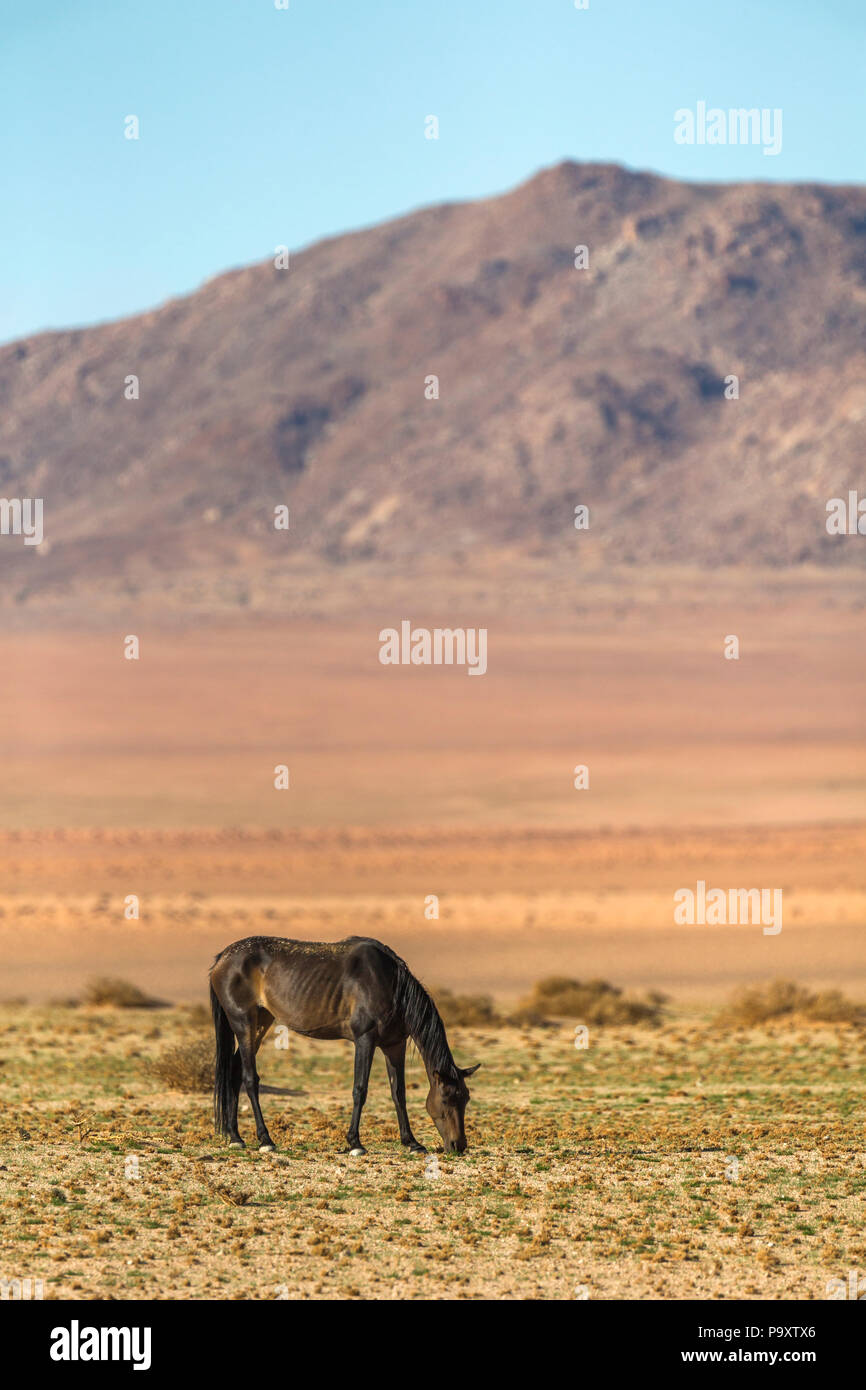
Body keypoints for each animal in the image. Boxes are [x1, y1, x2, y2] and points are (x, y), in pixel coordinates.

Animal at [209, 939, 480, 1156]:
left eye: (465, 1098)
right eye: (446, 1098)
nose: (459, 1146)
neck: (391, 984)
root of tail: (222, 957)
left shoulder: (395, 1045)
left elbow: (398, 1093)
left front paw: (412, 1143)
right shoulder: (365, 1040)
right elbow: (360, 1089)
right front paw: (355, 1143)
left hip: (261, 1023)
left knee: (234, 1072)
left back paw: (235, 1137)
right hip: (244, 1024)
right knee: (249, 1079)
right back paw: (265, 1140)